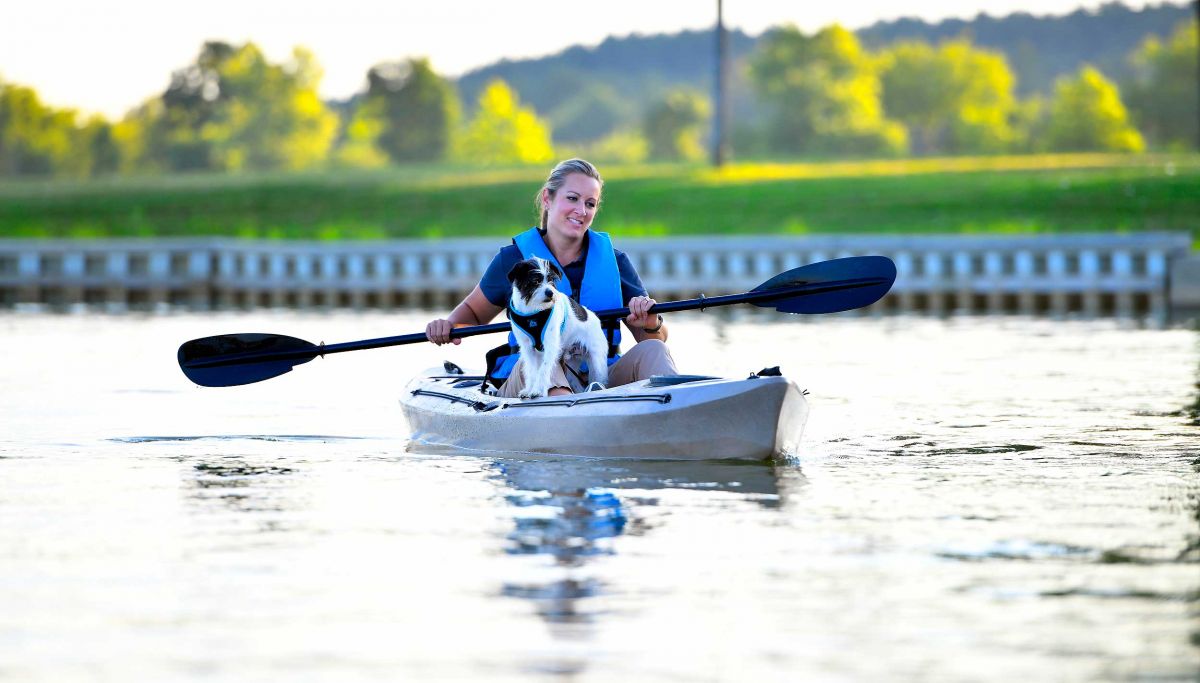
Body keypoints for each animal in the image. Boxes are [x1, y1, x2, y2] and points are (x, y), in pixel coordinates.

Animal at [506, 256, 609, 398]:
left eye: (551, 279)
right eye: (535, 281)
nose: (550, 293)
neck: (533, 312)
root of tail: (596, 319)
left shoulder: (550, 345)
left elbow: (543, 368)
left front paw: (538, 390)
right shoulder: (527, 348)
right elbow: (532, 370)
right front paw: (529, 389)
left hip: (597, 360)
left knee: (599, 379)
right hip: (572, 363)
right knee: (575, 383)